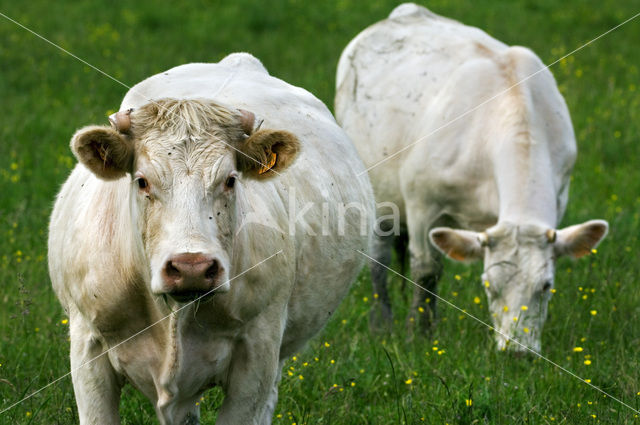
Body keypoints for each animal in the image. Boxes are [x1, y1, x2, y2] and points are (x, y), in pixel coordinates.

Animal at [336, 2, 608, 352]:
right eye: (489, 285)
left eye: (546, 286)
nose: (517, 352)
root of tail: (405, 12)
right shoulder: (422, 203)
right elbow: (426, 271)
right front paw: (419, 334)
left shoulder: (560, 196)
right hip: (379, 193)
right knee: (379, 256)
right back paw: (382, 322)